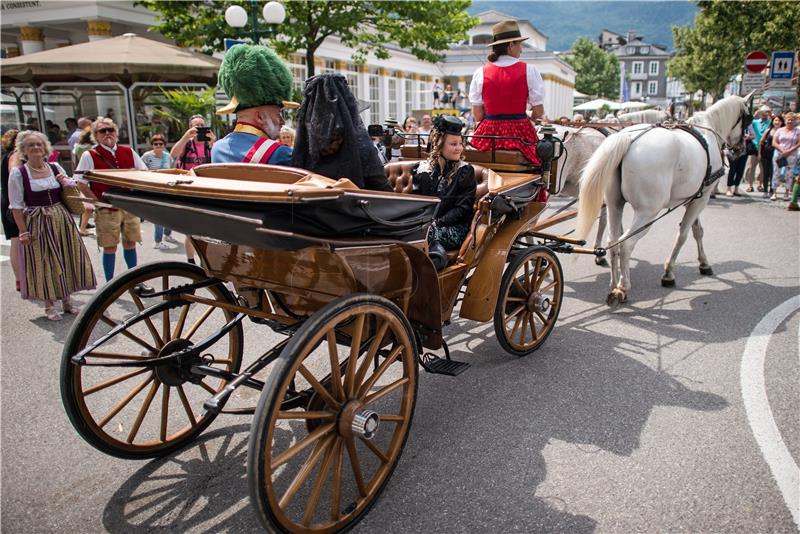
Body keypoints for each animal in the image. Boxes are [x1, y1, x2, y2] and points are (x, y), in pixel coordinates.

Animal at [576, 94, 752, 308]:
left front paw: (704, 263)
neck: (707, 130)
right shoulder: (703, 196)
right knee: (626, 244)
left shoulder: (694, 196)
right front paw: (669, 273)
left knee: (613, 241)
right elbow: (683, 234)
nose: (742, 150)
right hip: (647, 212)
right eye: (748, 120)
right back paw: (622, 287)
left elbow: (697, 231)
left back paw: (613, 282)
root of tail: (627, 138)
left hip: (614, 204)